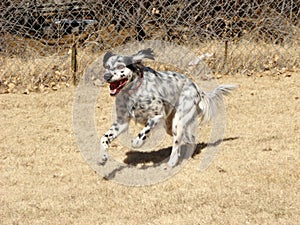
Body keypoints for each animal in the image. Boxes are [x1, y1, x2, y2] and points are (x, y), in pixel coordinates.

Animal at [98, 48, 234, 168]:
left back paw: (171, 163)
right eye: (107, 67)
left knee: (177, 144)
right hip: (171, 126)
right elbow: (104, 138)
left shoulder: (158, 115)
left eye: (121, 66)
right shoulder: (122, 122)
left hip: (177, 122)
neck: (133, 92)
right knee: (190, 139)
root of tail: (196, 87)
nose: (106, 76)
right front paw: (102, 156)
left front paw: (137, 142)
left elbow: (144, 131)